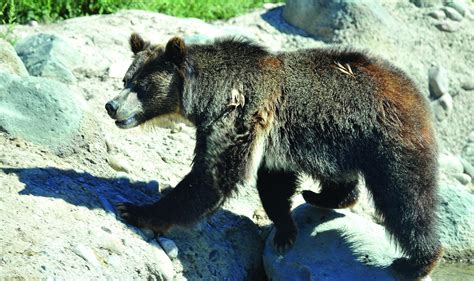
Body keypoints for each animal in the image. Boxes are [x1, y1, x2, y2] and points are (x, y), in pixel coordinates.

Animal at [105, 34, 442, 278]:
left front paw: (135, 210)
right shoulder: (271, 142)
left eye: (142, 86)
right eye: (125, 79)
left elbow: (212, 177)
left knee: (406, 199)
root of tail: (416, 91)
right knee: (342, 178)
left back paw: (418, 261)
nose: (111, 105)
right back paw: (322, 196)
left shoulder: (239, 113)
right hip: (338, 141)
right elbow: (273, 186)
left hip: (387, 141)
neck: (206, 96)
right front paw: (285, 231)